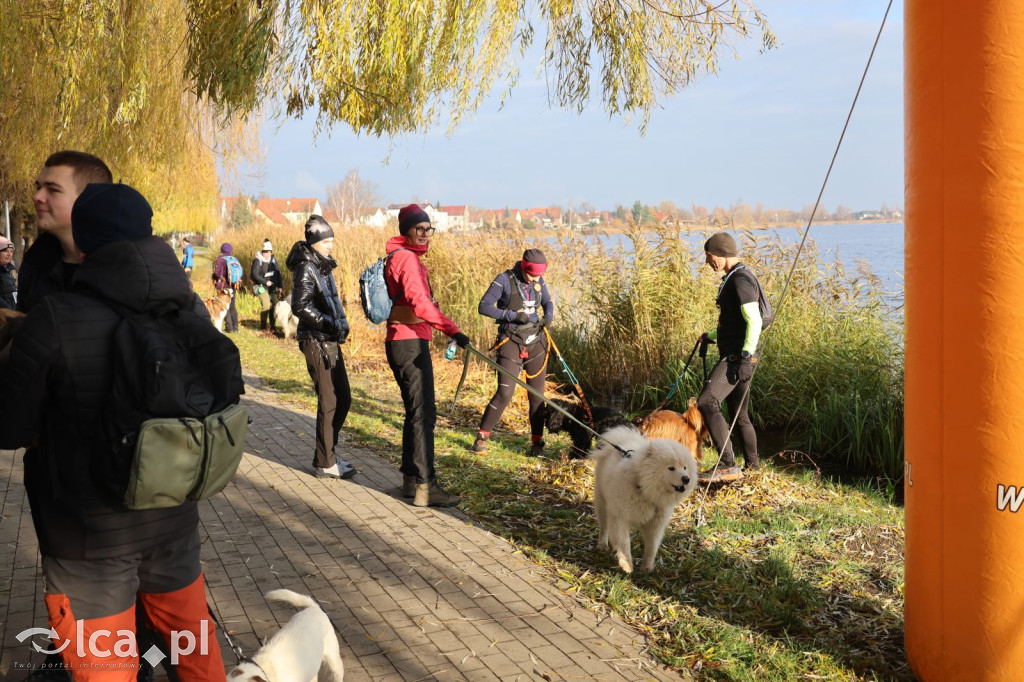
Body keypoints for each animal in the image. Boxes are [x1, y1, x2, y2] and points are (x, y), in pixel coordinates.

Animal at [589, 421, 700, 569]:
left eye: (685, 467)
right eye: (671, 468)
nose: (686, 479)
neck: (644, 489)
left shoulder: (655, 524)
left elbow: (651, 547)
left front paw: (647, 567)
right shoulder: (621, 516)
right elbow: (624, 542)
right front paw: (627, 565)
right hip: (602, 501)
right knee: (604, 526)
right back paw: (602, 545)